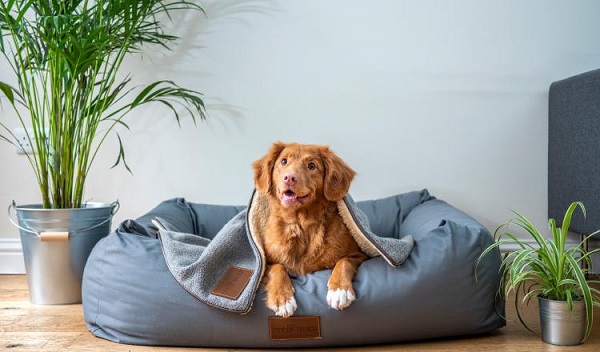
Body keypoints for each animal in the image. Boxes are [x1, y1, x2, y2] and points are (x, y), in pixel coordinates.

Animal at [252, 142, 368, 318]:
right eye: (284, 161)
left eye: (311, 166)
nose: (289, 178)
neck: (300, 223)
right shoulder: (265, 262)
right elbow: (277, 268)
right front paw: (283, 299)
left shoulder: (360, 254)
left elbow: (344, 261)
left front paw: (339, 290)